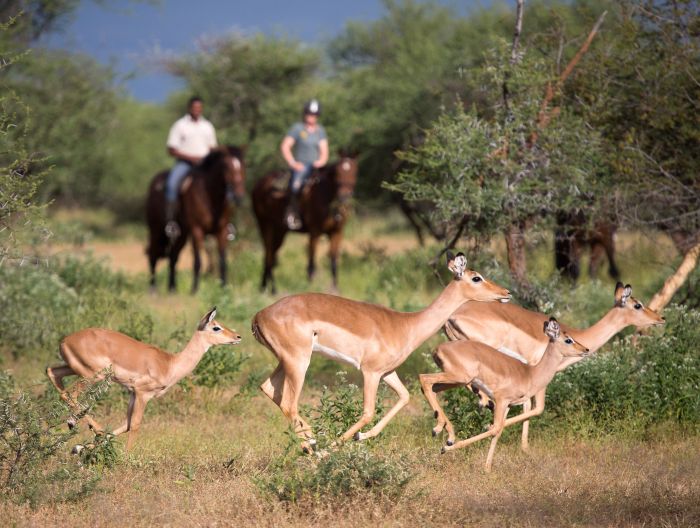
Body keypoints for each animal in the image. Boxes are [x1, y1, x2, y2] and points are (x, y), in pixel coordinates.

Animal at [145, 144, 246, 292]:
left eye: (243, 165)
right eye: (227, 166)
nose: (239, 196)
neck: (210, 196)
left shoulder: (221, 231)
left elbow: (222, 260)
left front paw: (223, 287)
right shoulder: (197, 230)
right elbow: (198, 260)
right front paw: (195, 289)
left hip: (181, 234)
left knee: (173, 257)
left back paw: (172, 287)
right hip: (156, 229)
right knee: (153, 254)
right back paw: (153, 288)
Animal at [252, 153, 358, 294]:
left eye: (354, 171)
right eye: (337, 172)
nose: (344, 197)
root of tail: (259, 184)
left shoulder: (337, 232)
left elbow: (334, 260)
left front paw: (335, 288)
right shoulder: (314, 231)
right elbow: (312, 260)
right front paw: (311, 285)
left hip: (280, 230)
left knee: (270, 255)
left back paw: (264, 287)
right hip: (265, 224)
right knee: (269, 254)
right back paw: (273, 288)